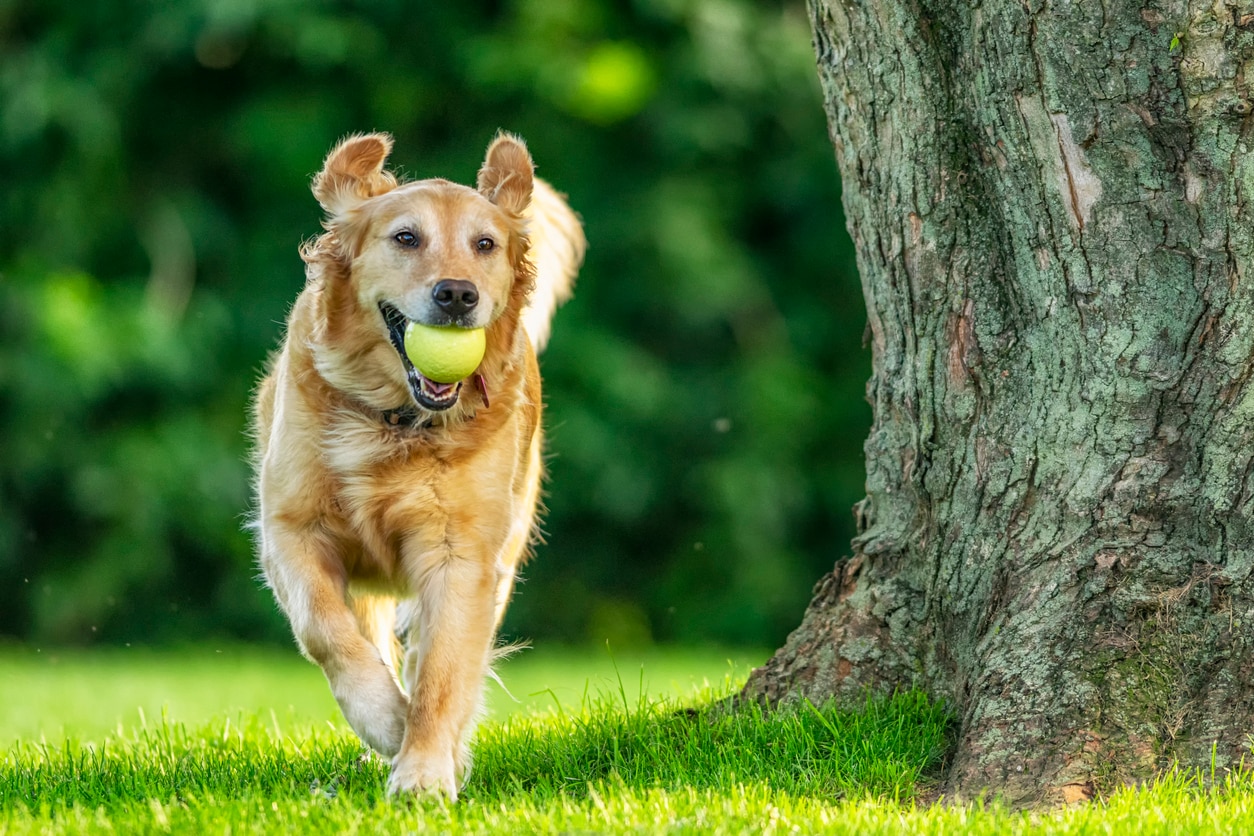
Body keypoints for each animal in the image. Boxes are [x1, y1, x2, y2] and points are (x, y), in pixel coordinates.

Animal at [253, 132, 586, 797]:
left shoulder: (463, 555)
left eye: (485, 244)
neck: (393, 421)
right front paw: (385, 720)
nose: (457, 294)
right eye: (406, 237)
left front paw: (426, 772)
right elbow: (327, 632)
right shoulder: (290, 530)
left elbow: (443, 671)